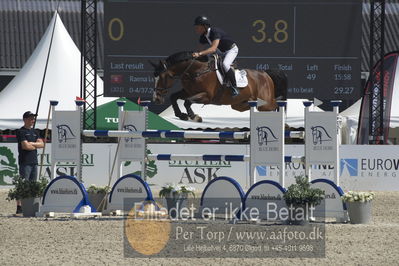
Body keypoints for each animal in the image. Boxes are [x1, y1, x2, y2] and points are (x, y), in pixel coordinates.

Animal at [151, 51, 288, 121]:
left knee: (275, 104)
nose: (156, 99)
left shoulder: (206, 96)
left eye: (163, 77)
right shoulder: (188, 92)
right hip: (237, 104)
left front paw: (194, 116)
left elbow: (187, 102)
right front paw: (181, 115)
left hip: (265, 103)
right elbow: (174, 97)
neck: (196, 71)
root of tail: (265, 74)